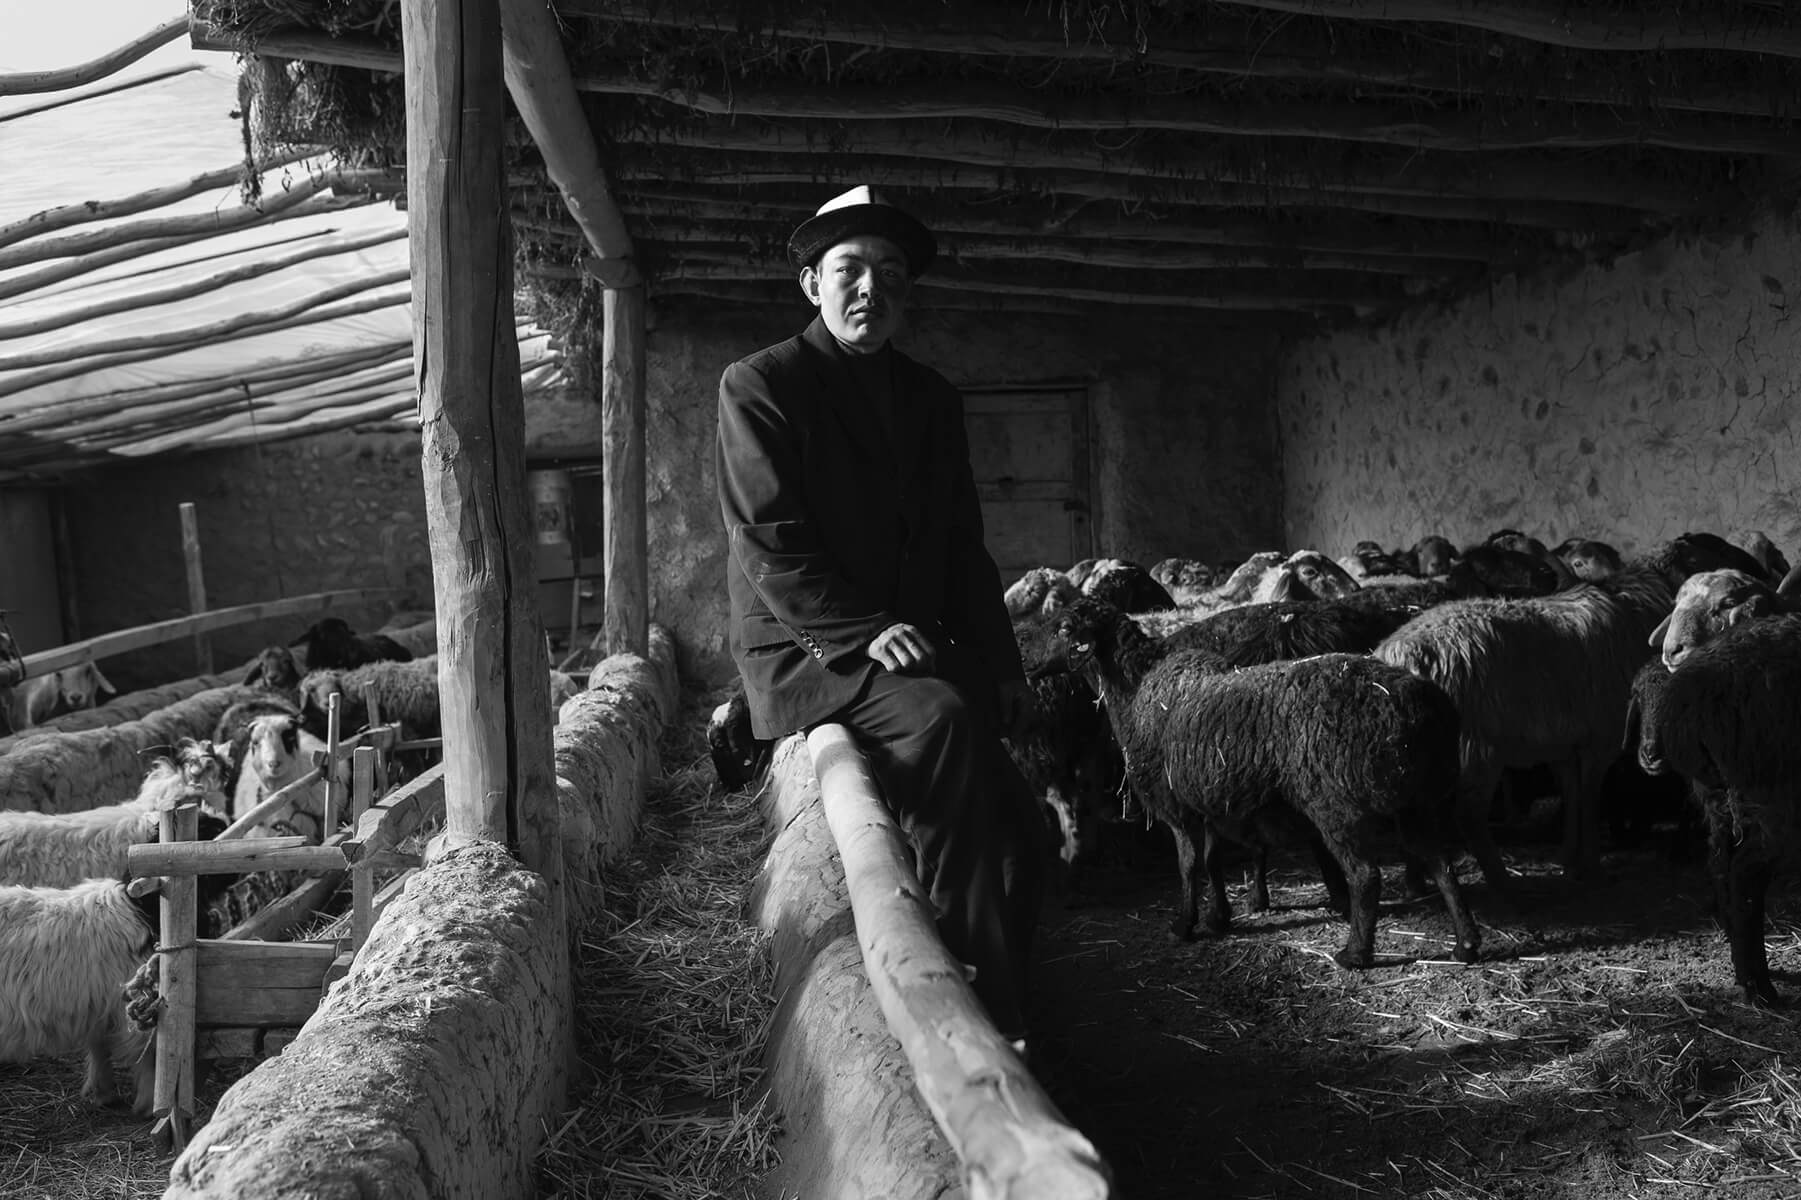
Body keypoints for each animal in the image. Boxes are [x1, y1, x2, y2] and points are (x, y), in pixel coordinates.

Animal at [1042, 596, 1480, 966]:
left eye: (1063, 628)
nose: (1030, 667)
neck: (1133, 693)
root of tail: (1425, 705)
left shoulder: (1177, 806)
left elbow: (1187, 864)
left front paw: (1184, 925)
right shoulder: (1209, 799)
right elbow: (1211, 859)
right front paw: (1218, 918)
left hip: (1335, 803)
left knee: (1366, 876)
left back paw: (1355, 953)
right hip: (1415, 801)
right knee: (1441, 863)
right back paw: (1465, 945)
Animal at [1626, 613, 1801, 1005]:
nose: (1650, 754)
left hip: (1719, 798)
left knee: (1722, 867)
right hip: (1770, 794)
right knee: (1745, 874)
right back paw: (1759, 988)